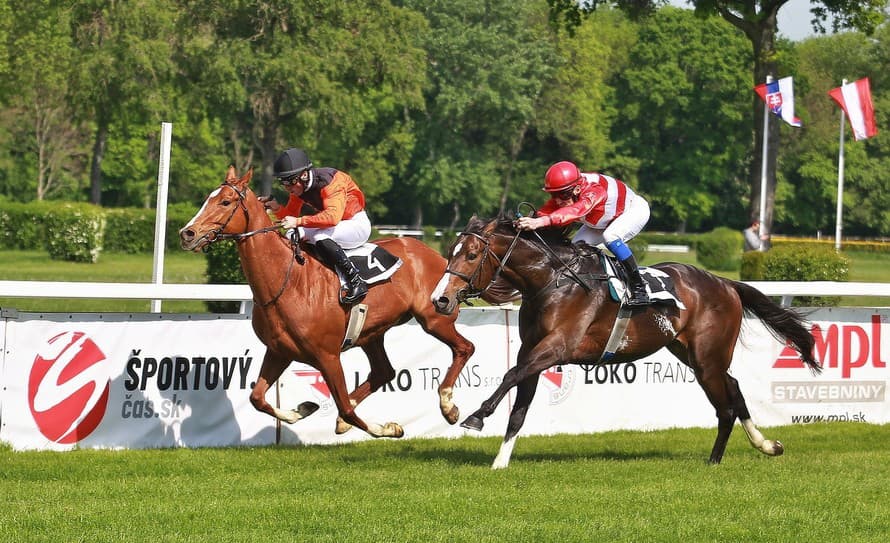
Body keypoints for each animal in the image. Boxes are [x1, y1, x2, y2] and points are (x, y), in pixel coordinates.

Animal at [177, 166, 476, 438]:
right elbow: (258, 398)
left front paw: (386, 428)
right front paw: (301, 409)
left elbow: (345, 408)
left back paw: (448, 406)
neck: (287, 282)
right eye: (208, 198)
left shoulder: (328, 356)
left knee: (465, 348)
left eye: (225, 202)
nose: (187, 233)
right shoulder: (279, 351)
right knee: (384, 372)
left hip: (434, 318)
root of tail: (439, 257)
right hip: (371, 333)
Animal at [430, 215, 820, 470]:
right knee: (735, 389)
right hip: (692, 354)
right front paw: (500, 461)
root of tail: (726, 283)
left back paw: (715, 460)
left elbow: (510, 376)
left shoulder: (557, 347)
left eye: (471, 255)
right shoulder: (534, 351)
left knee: (725, 406)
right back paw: (765, 445)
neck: (552, 281)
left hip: (708, 358)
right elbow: (519, 407)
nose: (441, 300)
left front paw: (472, 416)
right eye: (450, 249)